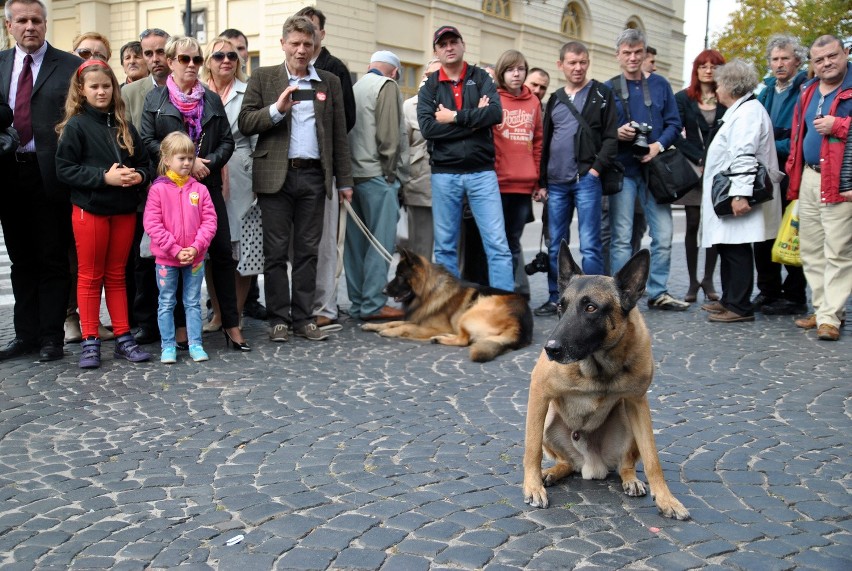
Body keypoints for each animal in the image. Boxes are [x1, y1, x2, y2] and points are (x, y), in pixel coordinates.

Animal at [520, 241, 692, 520]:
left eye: (590, 308)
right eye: (560, 307)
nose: (551, 349)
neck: (598, 366)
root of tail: (591, 465)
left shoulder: (638, 403)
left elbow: (652, 459)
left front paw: (667, 499)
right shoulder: (539, 394)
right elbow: (531, 450)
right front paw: (533, 486)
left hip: (628, 421)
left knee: (625, 465)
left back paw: (630, 479)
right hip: (547, 419)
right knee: (564, 462)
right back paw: (551, 473)